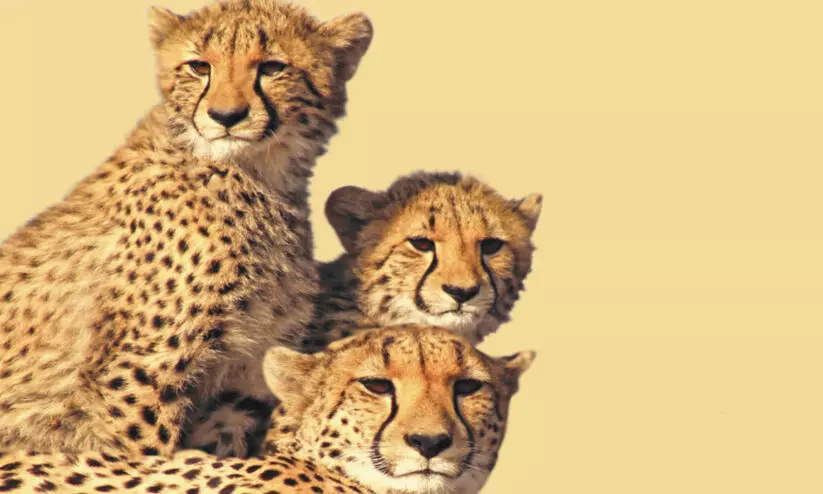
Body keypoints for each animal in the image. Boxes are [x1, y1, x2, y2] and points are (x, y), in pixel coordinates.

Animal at [0, 0, 373, 457]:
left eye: (271, 67)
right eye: (199, 66)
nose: (226, 116)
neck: (255, 177)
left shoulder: (241, 377)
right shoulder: (139, 372)